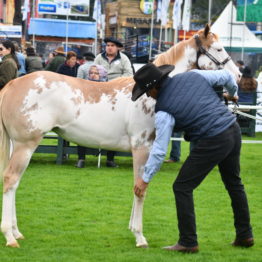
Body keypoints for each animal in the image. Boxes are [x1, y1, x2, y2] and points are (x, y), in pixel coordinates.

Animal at [0, 24, 242, 248]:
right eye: (219, 49)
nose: (238, 75)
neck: (150, 94)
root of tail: (13, 84)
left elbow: (137, 187)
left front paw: (132, 228)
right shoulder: (142, 148)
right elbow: (140, 189)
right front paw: (140, 236)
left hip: (17, 146)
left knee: (15, 183)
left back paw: (17, 232)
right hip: (25, 145)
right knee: (11, 180)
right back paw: (10, 237)